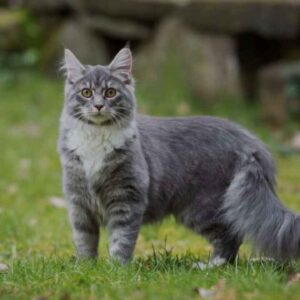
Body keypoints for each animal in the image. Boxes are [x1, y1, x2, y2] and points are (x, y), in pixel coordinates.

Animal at [58, 46, 300, 264]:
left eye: (110, 92)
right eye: (86, 93)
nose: (98, 106)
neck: (96, 137)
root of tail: (249, 140)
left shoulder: (126, 197)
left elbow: (121, 240)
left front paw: (116, 268)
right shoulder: (78, 201)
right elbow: (85, 240)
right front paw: (86, 266)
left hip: (202, 207)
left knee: (230, 237)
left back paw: (210, 265)